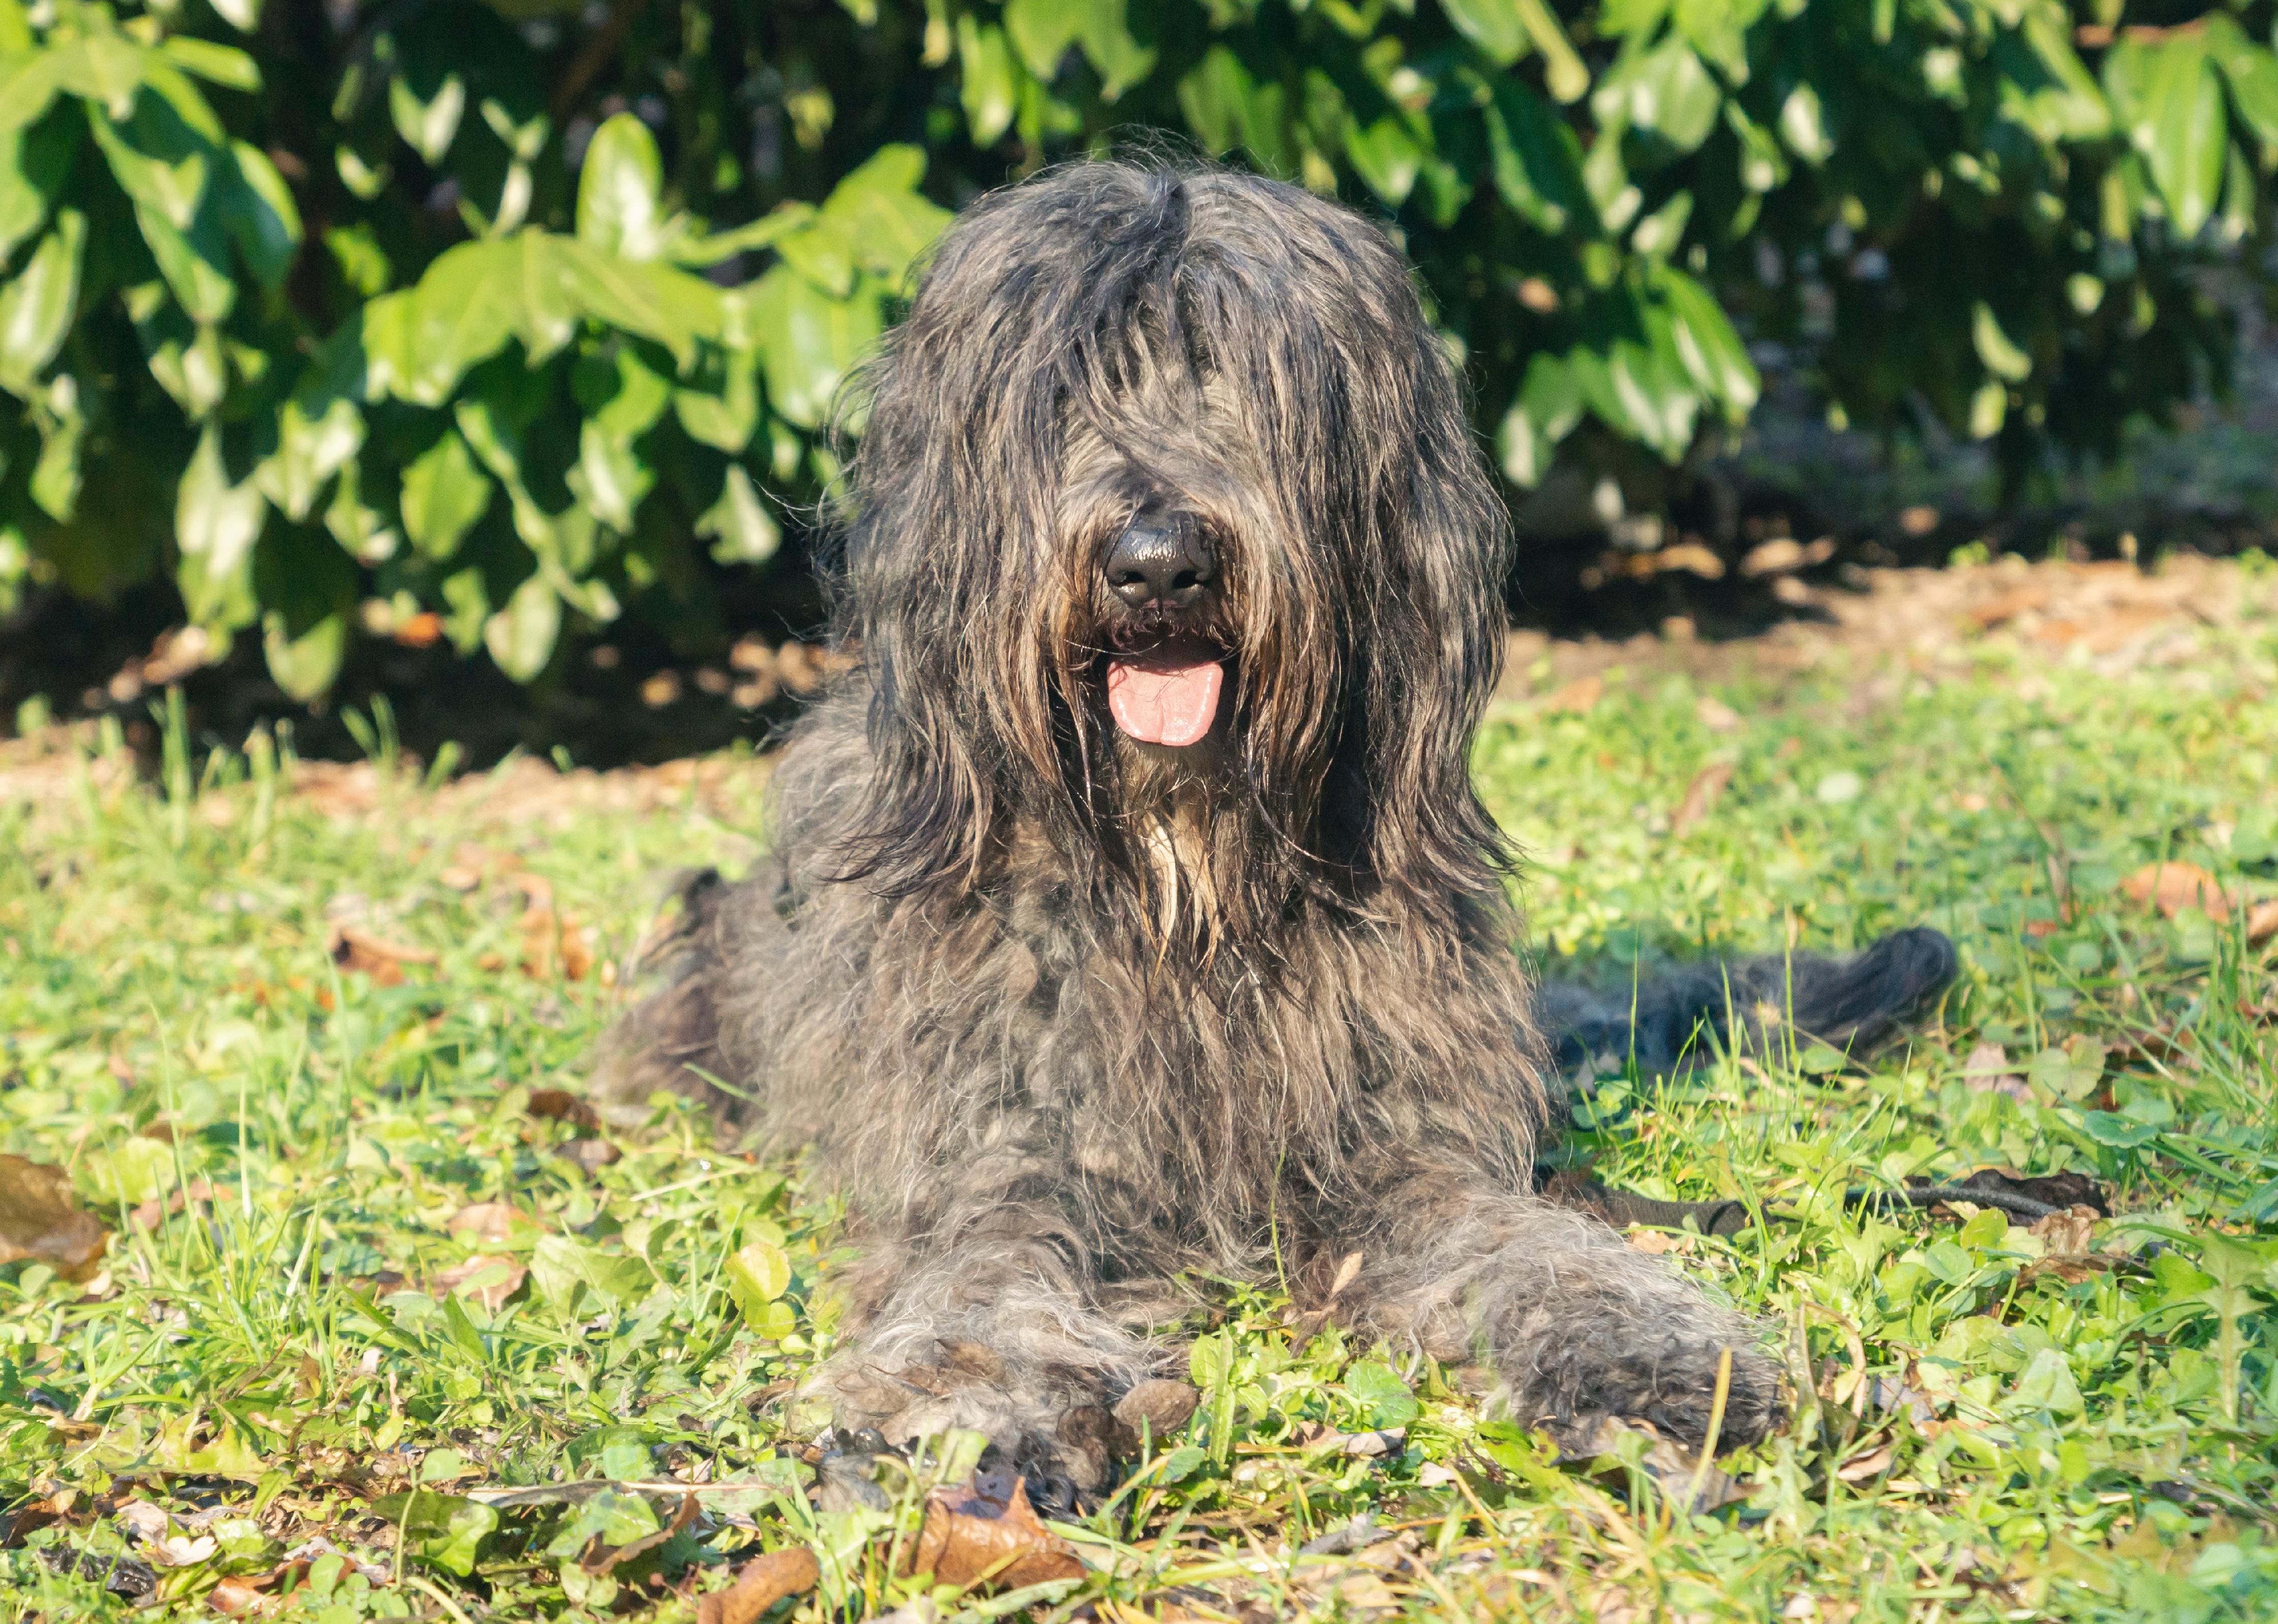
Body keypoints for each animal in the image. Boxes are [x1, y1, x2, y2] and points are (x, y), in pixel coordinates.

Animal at [592, 158, 1959, 1503]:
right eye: (1068, 388)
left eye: (1253, 382)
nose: (1158, 562)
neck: (1180, 885)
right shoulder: (995, 1139)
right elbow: (987, 1265)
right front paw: (982, 1396)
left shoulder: (1397, 1143)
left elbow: (1525, 1243)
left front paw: (1649, 1358)